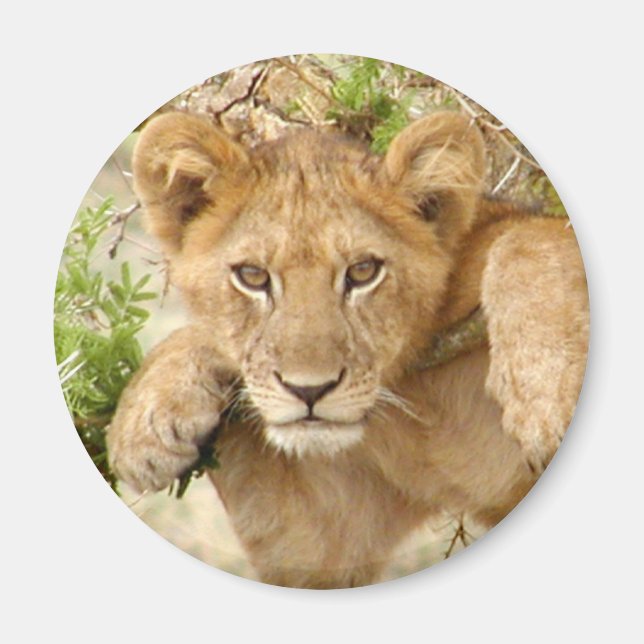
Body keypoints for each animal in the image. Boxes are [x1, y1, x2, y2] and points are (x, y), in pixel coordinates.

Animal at [106, 110, 589, 588]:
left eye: (363, 271)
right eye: (252, 276)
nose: (309, 391)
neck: (416, 402)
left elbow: (532, 237)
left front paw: (544, 393)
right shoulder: (323, 527)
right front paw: (145, 418)